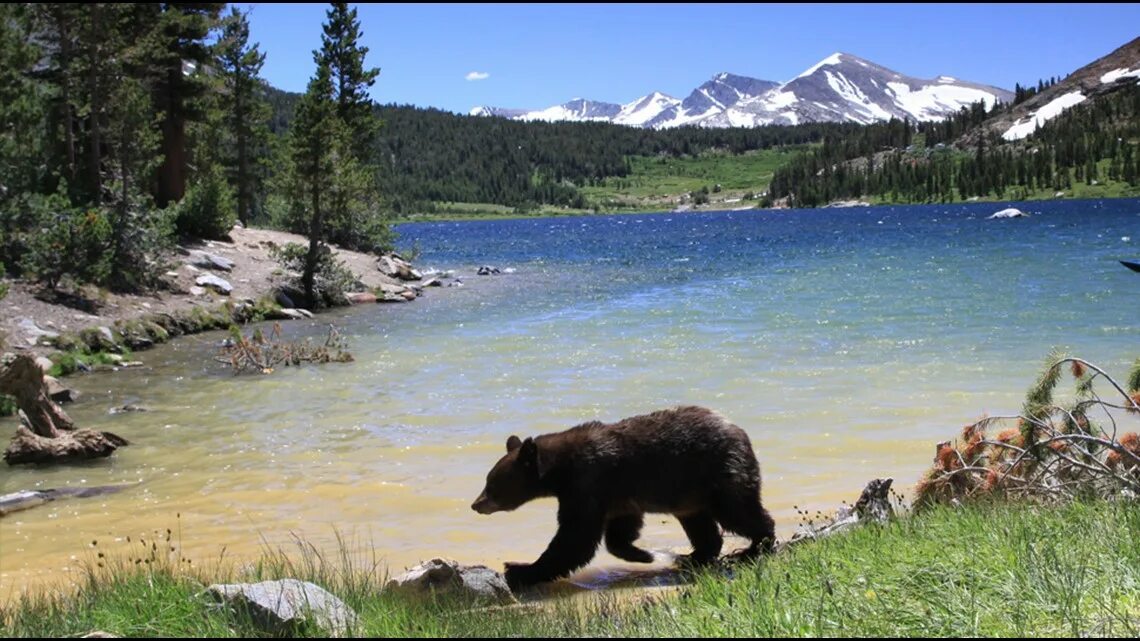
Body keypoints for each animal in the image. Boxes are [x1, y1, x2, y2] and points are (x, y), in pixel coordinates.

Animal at [469, 403, 775, 588]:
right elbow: (618, 530)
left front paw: (520, 568)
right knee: (700, 523)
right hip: (690, 494)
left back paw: (754, 547)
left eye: (492, 483)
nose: (476, 504)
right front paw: (644, 554)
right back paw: (693, 556)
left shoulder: (588, 483)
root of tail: (739, 430)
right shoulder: (616, 494)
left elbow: (575, 536)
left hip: (719, 471)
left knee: (738, 511)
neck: (561, 470)